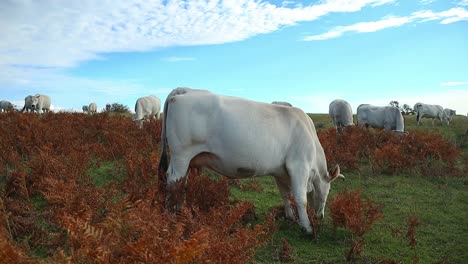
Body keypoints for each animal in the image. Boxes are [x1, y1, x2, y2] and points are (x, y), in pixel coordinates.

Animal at [161, 88, 344, 235]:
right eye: (328, 190)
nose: (321, 216)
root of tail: (185, 90)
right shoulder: (299, 165)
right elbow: (300, 198)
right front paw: (306, 228)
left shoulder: (281, 171)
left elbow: (285, 194)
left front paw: (290, 216)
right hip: (181, 155)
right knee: (173, 181)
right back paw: (172, 214)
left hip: (186, 160)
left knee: (181, 182)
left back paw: (179, 209)